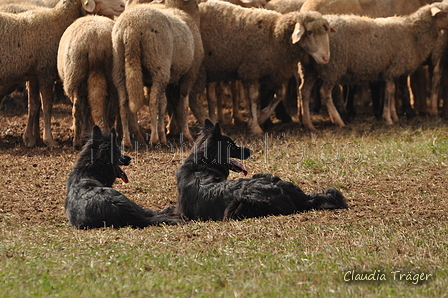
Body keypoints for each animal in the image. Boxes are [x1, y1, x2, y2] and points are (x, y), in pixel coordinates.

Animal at [0, 0, 125, 148]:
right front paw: (49, 139)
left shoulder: (35, 75)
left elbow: (33, 106)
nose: (123, 6)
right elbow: (47, 107)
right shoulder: (46, 73)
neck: (58, 20)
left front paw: (30, 139)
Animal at [113, 0, 204, 149]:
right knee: (152, 102)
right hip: (158, 64)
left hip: (120, 66)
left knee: (123, 103)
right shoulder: (189, 74)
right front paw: (186, 135)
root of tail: (131, 28)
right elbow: (182, 105)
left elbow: (164, 104)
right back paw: (154, 139)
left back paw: (126, 141)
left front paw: (164, 134)